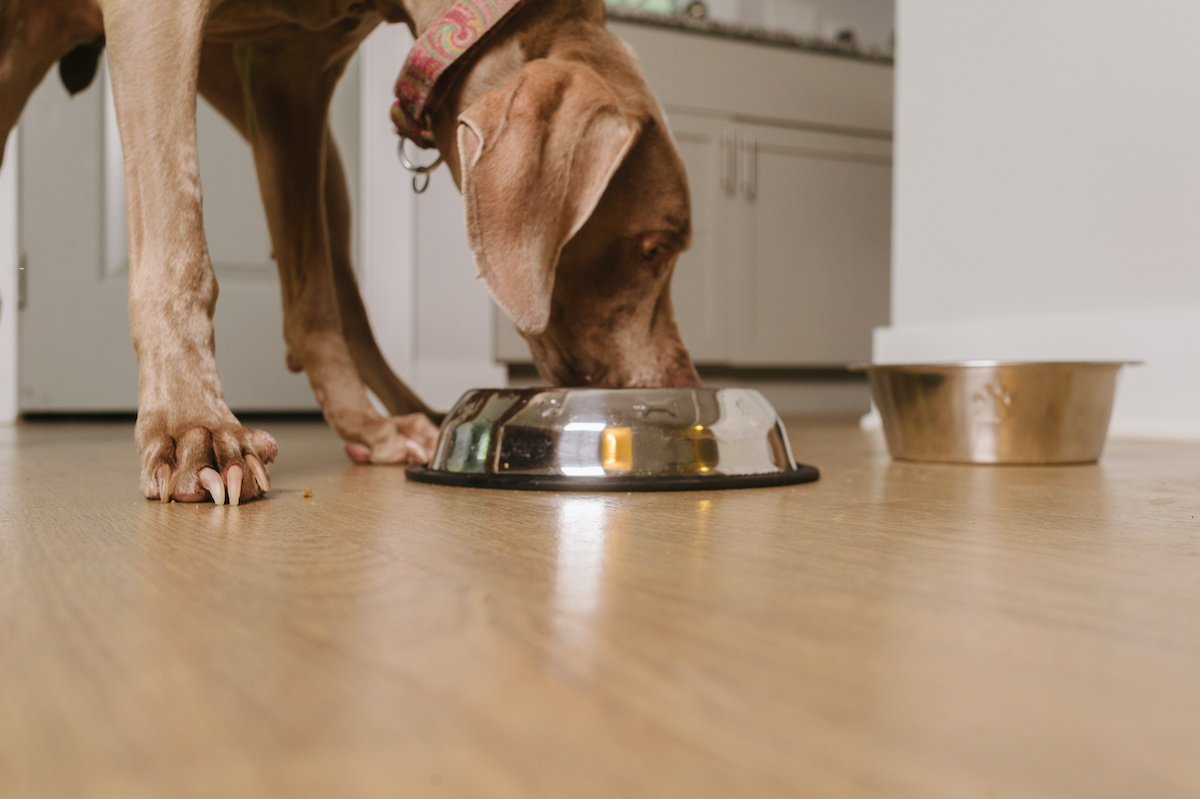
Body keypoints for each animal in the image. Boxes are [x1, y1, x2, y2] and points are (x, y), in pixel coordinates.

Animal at [0, 0, 700, 501]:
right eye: (654, 249)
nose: (687, 385)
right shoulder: (161, 22)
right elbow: (180, 235)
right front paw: (191, 427)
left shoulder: (290, 75)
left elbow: (315, 303)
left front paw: (362, 423)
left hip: (322, 164)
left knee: (337, 298)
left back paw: (389, 423)